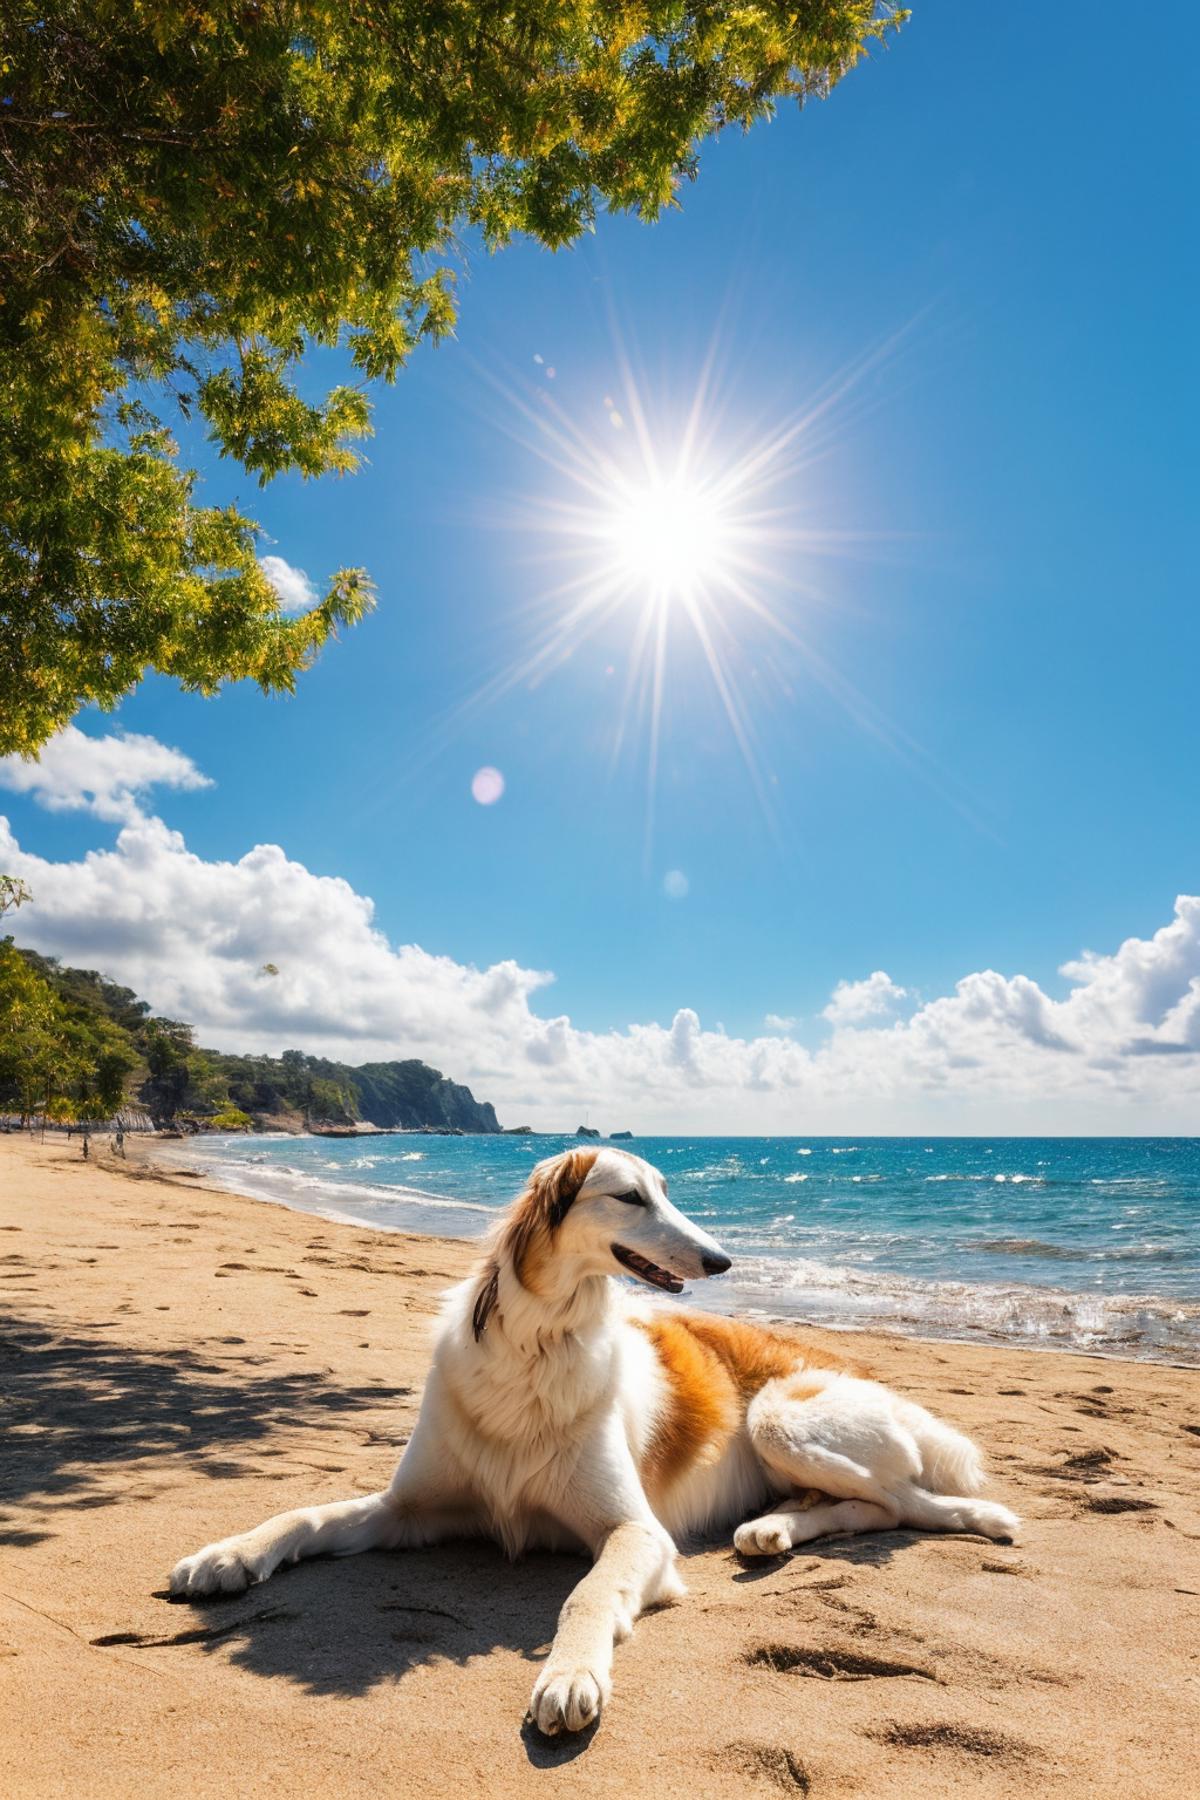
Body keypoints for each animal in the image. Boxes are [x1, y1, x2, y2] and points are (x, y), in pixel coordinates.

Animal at [170, 1152, 1014, 1728]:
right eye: (631, 1197)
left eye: (668, 1192)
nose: (723, 1260)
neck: (539, 1343)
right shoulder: (409, 1511)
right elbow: (304, 1515)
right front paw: (228, 1555)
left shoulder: (637, 1531)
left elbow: (588, 1592)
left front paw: (570, 1675)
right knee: (861, 1506)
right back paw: (770, 1529)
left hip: (779, 1417)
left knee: (905, 1504)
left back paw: (973, 1518)